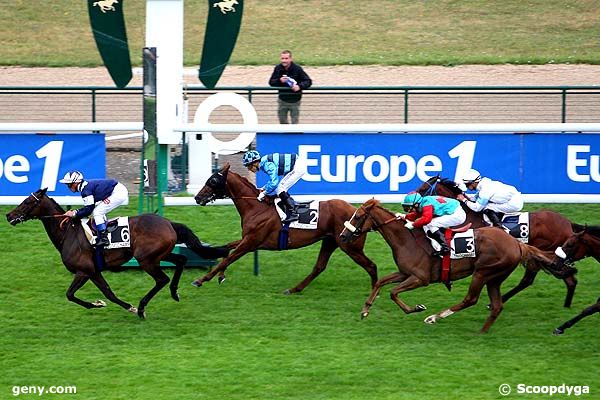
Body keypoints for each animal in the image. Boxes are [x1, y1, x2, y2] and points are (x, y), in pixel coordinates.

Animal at [5, 188, 229, 318]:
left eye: (27, 202)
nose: (8, 215)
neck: (68, 233)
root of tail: (168, 223)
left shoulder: (83, 271)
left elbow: (70, 295)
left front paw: (109, 305)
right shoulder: (94, 271)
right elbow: (109, 293)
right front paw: (106, 303)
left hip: (146, 259)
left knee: (161, 279)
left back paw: (142, 308)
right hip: (160, 255)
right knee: (181, 259)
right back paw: (174, 293)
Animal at [190, 162, 378, 294]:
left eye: (213, 181)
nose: (197, 197)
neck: (256, 207)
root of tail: (359, 212)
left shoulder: (250, 242)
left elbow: (228, 258)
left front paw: (201, 280)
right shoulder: (248, 240)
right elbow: (228, 250)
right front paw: (221, 275)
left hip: (350, 245)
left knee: (371, 266)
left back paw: (374, 291)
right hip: (331, 241)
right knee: (319, 267)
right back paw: (294, 289)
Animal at [340, 198, 556, 332]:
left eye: (357, 216)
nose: (343, 236)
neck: (406, 240)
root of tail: (517, 243)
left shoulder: (420, 278)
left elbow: (393, 292)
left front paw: (417, 308)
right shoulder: (405, 273)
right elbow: (381, 282)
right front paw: (365, 310)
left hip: (483, 272)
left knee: (470, 299)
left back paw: (434, 317)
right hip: (494, 278)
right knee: (496, 306)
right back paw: (482, 332)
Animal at [414, 174, 584, 306]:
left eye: (422, 189)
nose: (410, 204)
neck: (469, 215)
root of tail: (568, 223)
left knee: (533, 279)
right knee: (566, 279)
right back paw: (567, 305)